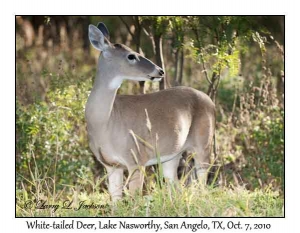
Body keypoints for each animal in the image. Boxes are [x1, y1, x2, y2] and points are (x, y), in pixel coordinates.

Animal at [85, 22, 214, 200]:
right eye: (131, 56)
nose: (160, 70)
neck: (105, 123)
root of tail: (210, 101)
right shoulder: (111, 165)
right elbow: (116, 199)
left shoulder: (136, 158)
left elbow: (135, 198)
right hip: (172, 154)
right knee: (176, 185)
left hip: (204, 142)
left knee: (202, 179)